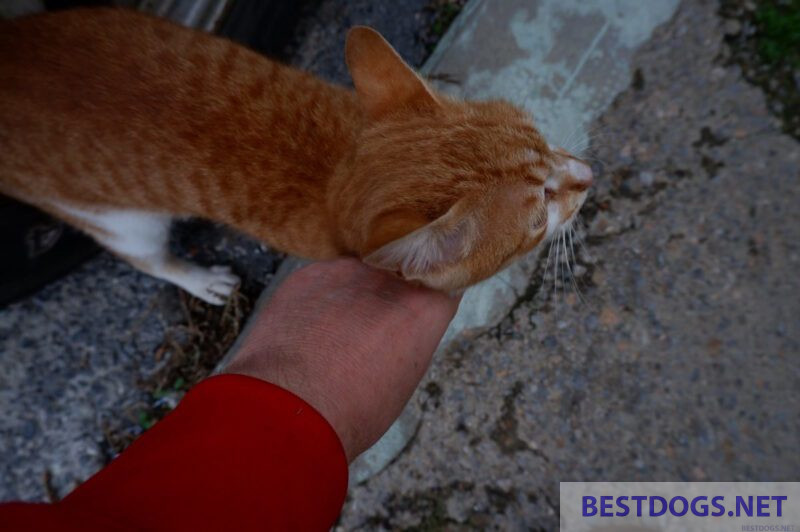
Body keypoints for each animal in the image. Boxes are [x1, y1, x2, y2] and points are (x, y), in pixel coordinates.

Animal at [0, 7, 588, 304]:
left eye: (541, 135)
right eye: (541, 211)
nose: (590, 173)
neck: (334, 166)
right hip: (117, 218)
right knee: (145, 255)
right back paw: (200, 279)